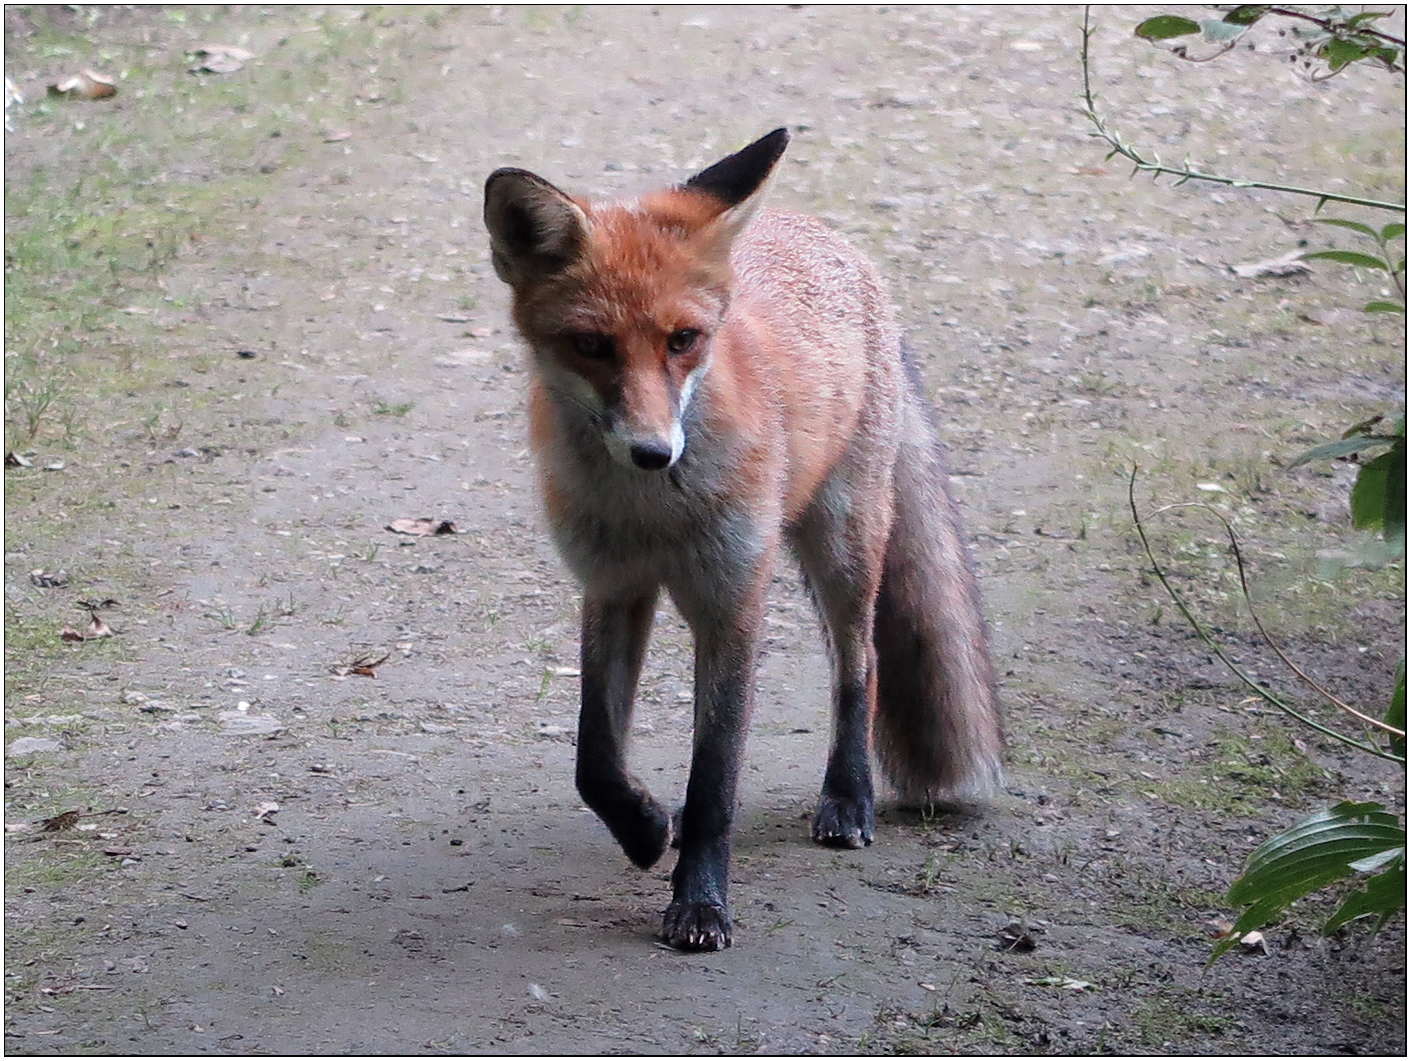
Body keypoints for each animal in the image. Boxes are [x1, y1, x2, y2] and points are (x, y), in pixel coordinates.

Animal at [488, 128, 1004, 948]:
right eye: (591, 345)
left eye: (684, 340)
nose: (654, 453)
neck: (652, 513)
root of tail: (822, 231)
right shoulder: (614, 584)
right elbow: (594, 759)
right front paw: (643, 828)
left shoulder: (732, 599)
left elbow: (714, 780)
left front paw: (699, 902)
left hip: (843, 545)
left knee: (861, 668)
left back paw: (849, 798)